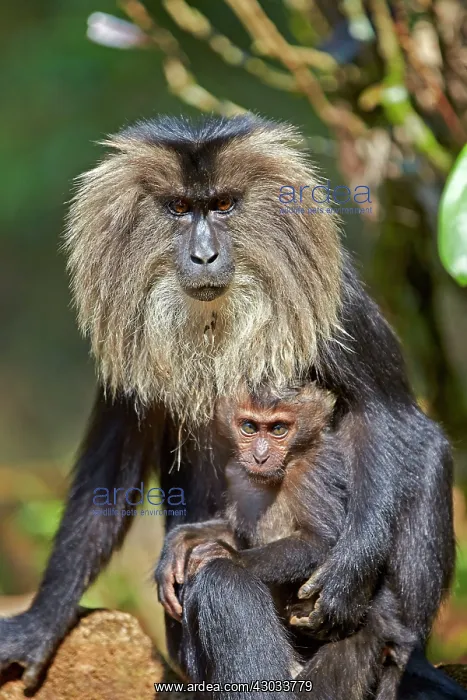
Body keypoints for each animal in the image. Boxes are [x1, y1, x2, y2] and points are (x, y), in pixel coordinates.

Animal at [0, 114, 462, 699]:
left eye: (222, 206)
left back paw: (403, 655)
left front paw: (347, 575)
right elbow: (108, 482)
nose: (204, 256)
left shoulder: (338, 298)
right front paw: (39, 626)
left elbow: (387, 415)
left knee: (425, 451)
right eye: (180, 209)